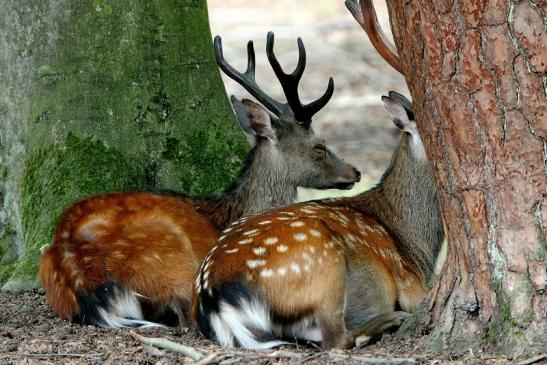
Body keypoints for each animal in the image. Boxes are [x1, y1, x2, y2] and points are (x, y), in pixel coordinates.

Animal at [193, 0, 446, 346]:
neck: (415, 244)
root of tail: (216, 300)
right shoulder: (411, 283)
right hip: (322, 261)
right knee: (337, 338)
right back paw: (390, 320)